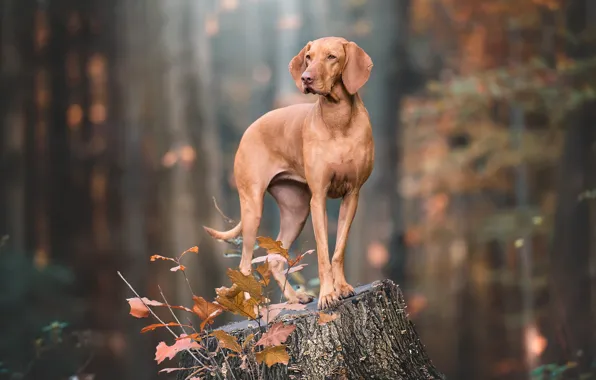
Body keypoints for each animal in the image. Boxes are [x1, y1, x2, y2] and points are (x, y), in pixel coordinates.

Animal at [204, 36, 372, 308]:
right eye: (309, 57)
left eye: (332, 57)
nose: (306, 78)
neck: (337, 119)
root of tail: (250, 128)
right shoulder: (318, 199)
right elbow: (323, 253)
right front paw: (328, 294)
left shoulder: (352, 195)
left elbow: (338, 250)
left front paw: (343, 287)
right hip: (253, 207)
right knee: (244, 265)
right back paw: (255, 309)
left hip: (297, 210)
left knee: (273, 259)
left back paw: (295, 298)